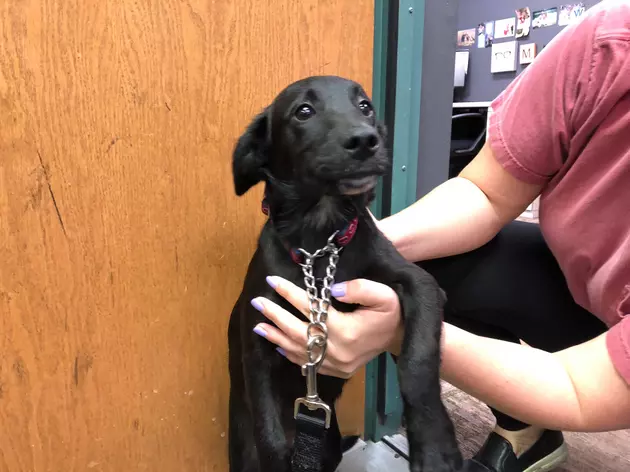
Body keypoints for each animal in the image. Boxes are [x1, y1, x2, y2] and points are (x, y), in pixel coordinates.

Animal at [228, 75, 464, 470]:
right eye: (303, 111)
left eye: (365, 106)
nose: (366, 140)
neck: (319, 245)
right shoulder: (258, 338)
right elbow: (269, 432)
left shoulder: (420, 283)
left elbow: (417, 362)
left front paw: (435, 448)